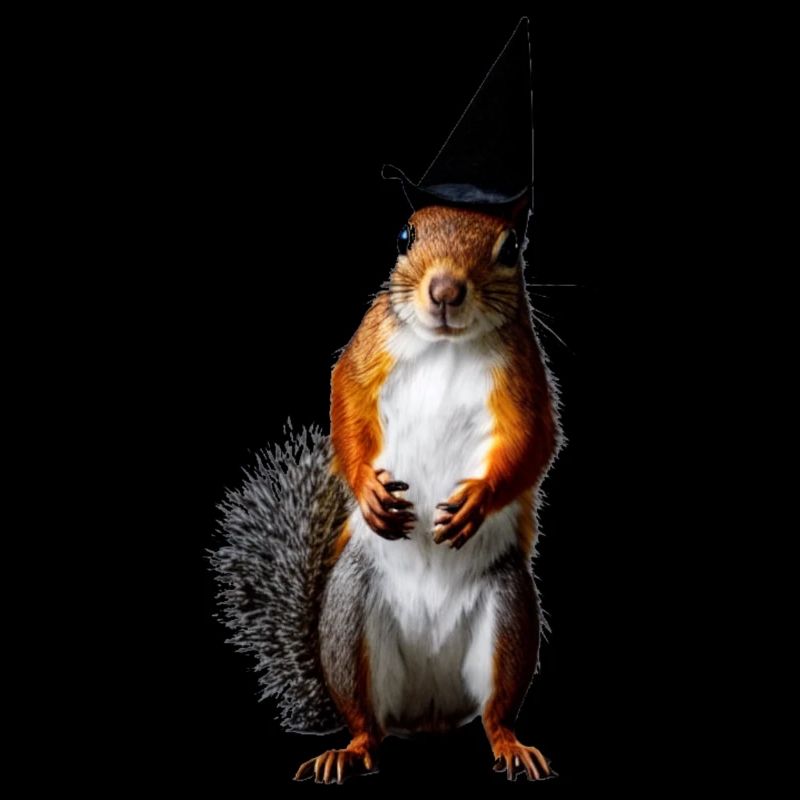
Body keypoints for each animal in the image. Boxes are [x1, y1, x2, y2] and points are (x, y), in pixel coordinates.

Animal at [213, 203, 561, 783]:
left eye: (512, 248)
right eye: (404, 235)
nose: (445, 290)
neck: (446, 347)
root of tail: (428, 713)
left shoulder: (524, 377)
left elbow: (535, 441)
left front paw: (477, 501)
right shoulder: (369, 345)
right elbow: (345, 398)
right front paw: (369, 493)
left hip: (509, 613)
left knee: (495, 712)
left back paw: (510, 744)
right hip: (349, 618)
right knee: (365, 723)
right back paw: (347, 752)